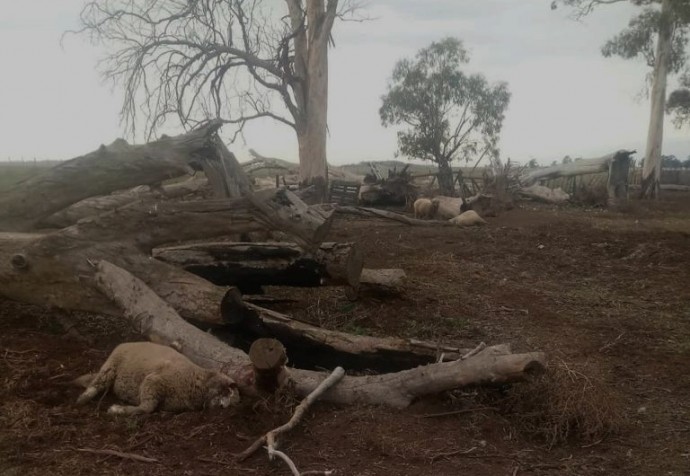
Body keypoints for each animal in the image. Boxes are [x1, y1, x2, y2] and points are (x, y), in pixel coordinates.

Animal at [75, 342, 239, 412]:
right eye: (228, 391)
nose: (222, 406)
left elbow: (148, 407)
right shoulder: (153, 382)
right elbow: (147, 408)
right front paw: (118, 410)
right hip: (111, 365)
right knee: (96, 384)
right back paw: (82, 399)